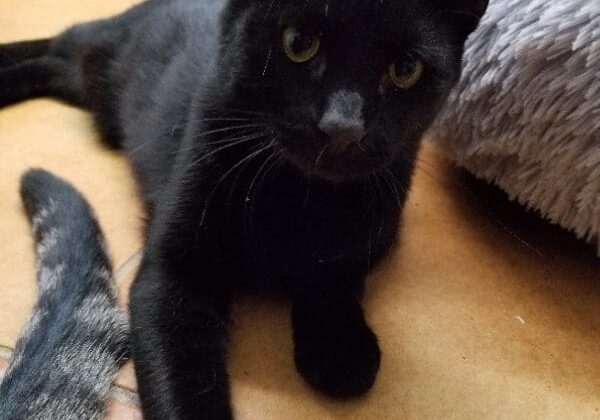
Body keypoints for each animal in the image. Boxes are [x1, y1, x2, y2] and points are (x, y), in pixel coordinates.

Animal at [0, 1, 488, 418]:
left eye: (406, 70)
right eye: (298, 42)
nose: (343, 127)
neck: (299, 195)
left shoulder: (375, 227)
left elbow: (338, 270)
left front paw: (340, 345)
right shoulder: (171, 274)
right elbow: (182, 376)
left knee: (53, 64)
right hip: (98, 54)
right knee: (57, 42)